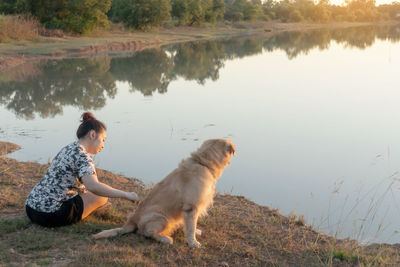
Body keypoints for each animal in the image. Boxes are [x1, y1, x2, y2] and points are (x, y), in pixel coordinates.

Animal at [92, 139, 236, 248]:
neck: (203, 163)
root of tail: (131, 220)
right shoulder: (190, 206)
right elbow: (190, 228)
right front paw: (193, 242)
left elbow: (191, 225)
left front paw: (196, 232)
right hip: (162, 218)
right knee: (146, 233)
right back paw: (165, 239)